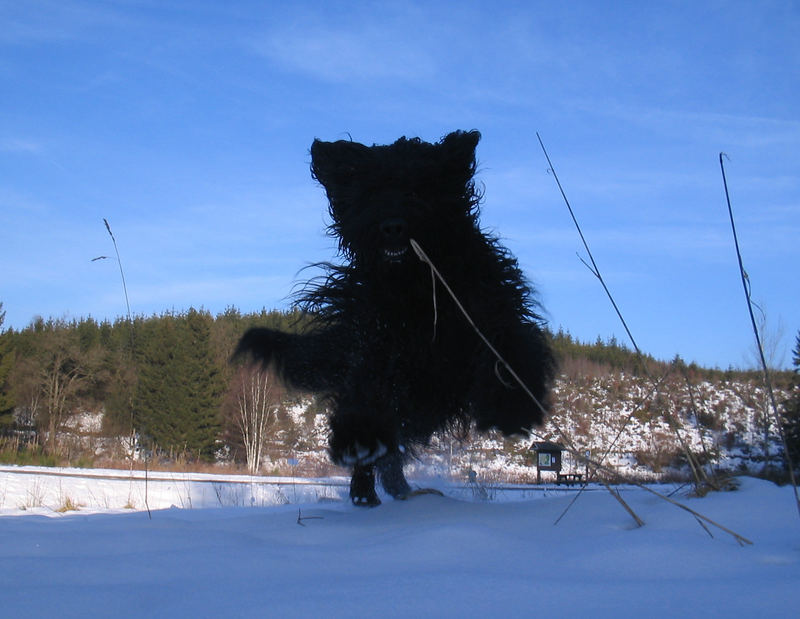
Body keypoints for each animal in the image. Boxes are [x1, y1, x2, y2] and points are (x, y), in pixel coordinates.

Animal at [234, 130, 552, 504]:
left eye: (417, 188)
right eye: (370, 192)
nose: (392, 227)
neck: (414, 285)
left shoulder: (489, 308)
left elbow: (509, 348)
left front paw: (511, 406)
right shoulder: (374, 336)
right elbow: (366, 385)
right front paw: (358, 439)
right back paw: (368, 489)